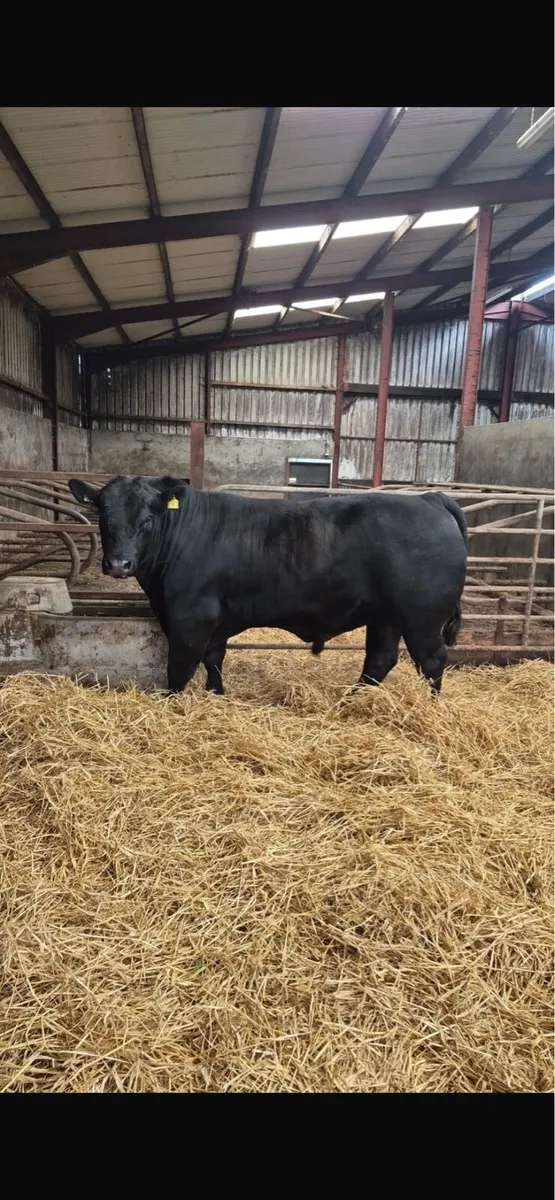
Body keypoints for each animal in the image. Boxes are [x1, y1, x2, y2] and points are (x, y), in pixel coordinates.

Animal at [68, 475, 467, 699]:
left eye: (147, 519)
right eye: (102, 516)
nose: (118, 564)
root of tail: (430, 499)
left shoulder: (190, 618)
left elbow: (180, 667)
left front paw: (173, 702)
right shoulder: (217, 621)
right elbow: (213, 659)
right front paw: (217, 694)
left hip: (422, 617)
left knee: (432, 660)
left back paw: (430, 707)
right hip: (385, 616)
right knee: (380, 659)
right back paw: (352, 701)